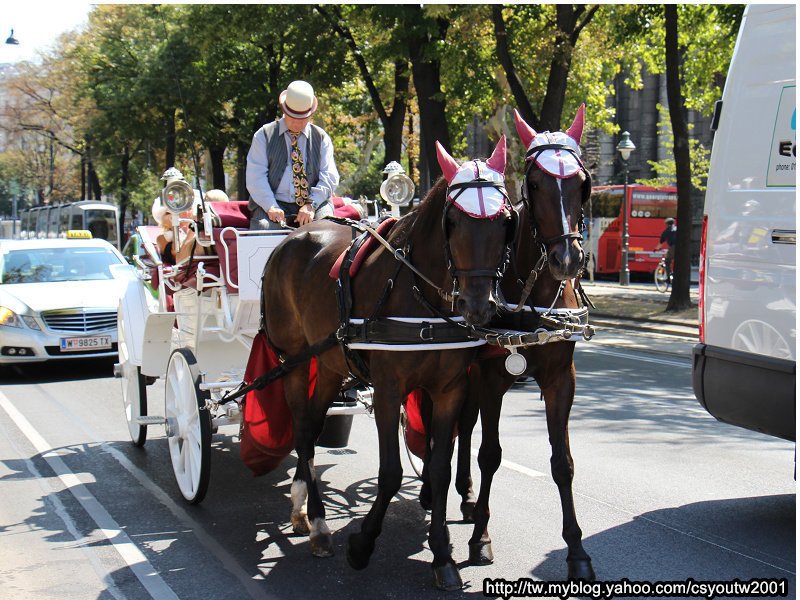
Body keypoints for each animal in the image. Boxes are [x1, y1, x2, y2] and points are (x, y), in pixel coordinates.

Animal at [260, 137, 516, 592]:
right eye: (453, 220)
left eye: (505, 221)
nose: (478, 305)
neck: (421, 295)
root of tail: (295, 234)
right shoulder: (388, 390)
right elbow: (392, 472)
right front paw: (362, 544)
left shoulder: (449, 390)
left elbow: (438, 468)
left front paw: (442, 556)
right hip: (292, 361)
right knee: (303, 430)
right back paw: (319, 524)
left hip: (329, 364)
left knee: (312, 425)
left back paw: (304, 508)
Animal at [450, 104, 592, 580]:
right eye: (534, 184)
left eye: (582, 183)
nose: (568, 259)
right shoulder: (490, 376)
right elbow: (490, 454)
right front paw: (481, 538)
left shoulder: (561, 379)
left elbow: (563, 463)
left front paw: (576, 550)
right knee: (462, 429)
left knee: (464, 426)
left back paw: (466, 496)